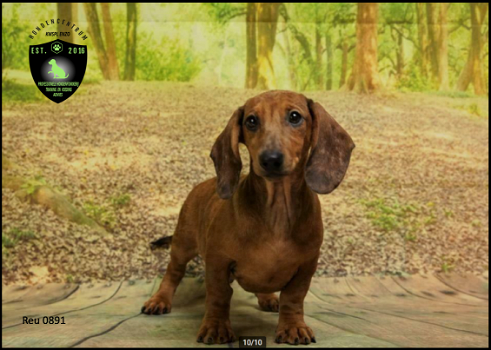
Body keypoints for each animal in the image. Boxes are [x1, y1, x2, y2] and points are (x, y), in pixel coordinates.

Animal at [140, 89, 356, 344]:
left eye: (295, 116)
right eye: (251, 120)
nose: (270, 159)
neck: (277, 212)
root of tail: (203, 184)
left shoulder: (306, 266)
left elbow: (293, 298)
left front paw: (293, 326)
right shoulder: (218, 262)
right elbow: (219, 295)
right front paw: (216, 327)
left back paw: (268, 297)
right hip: (182, 245)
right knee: (173, 273)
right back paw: (159, 300)